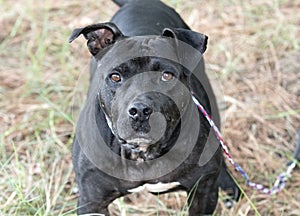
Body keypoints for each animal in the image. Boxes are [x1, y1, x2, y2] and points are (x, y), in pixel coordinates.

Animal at [69, 0, 240, 214]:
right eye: (115, 77)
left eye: (166, 76)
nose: (140, 111)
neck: (144, 154)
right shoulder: (93, 202)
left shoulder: (202, 194)